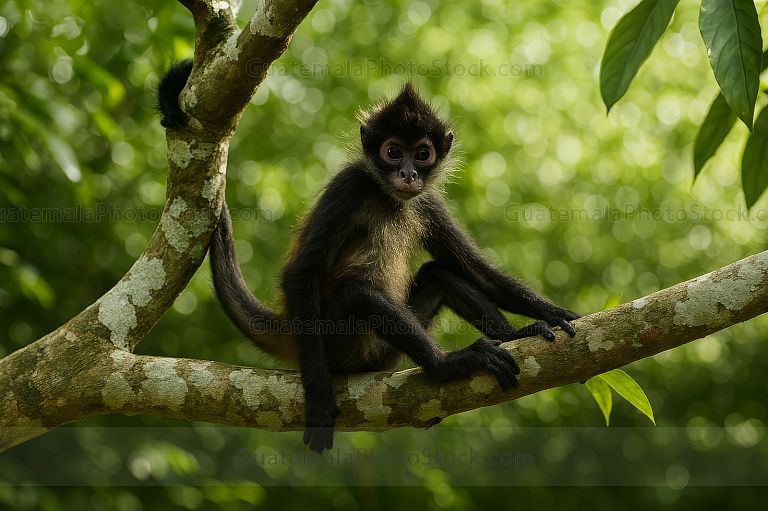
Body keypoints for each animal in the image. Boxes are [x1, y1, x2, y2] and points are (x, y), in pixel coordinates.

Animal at [157, 66, 579, 454]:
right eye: (393, 152)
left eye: (421, 154)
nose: (408, 173)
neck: (386, 197)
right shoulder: (348, 187)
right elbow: (301, 274)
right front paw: (319, 398)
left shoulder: (426, 201)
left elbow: (474, 269)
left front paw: (554, 315)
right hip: (339, 342)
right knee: (357, 292)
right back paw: (448, 366)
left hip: (380, 352)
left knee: (438, 274)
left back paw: (509, 337)